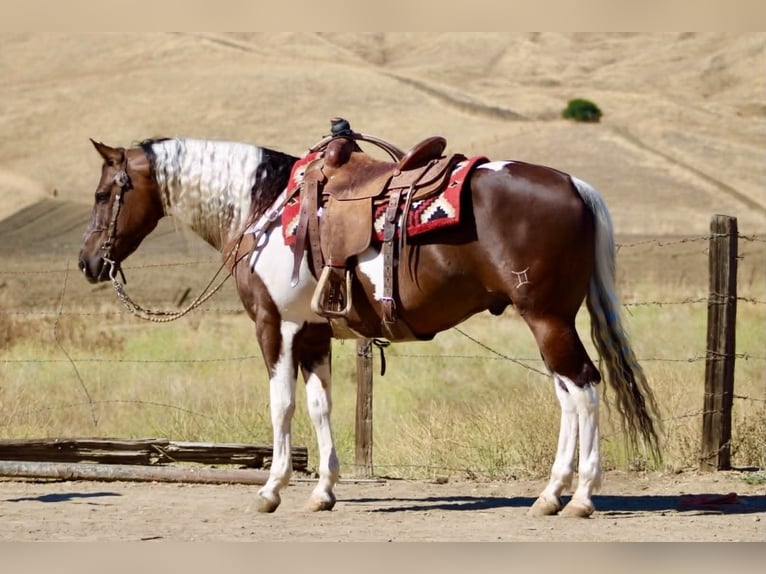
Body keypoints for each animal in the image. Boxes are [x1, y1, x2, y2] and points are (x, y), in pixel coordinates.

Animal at [78, 126, 661, 518]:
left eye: (104, 194)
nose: (87, 263)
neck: (265, 208)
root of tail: (573, 184)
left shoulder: (274, 325)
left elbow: (281, 405)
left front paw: (271, 489)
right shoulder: (313, 332)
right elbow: (319, 405)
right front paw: (323, 491)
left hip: (546, 318)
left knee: (583, 388)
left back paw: (580, 497)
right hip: (549, 320)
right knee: (568, 395)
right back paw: (549, 495)